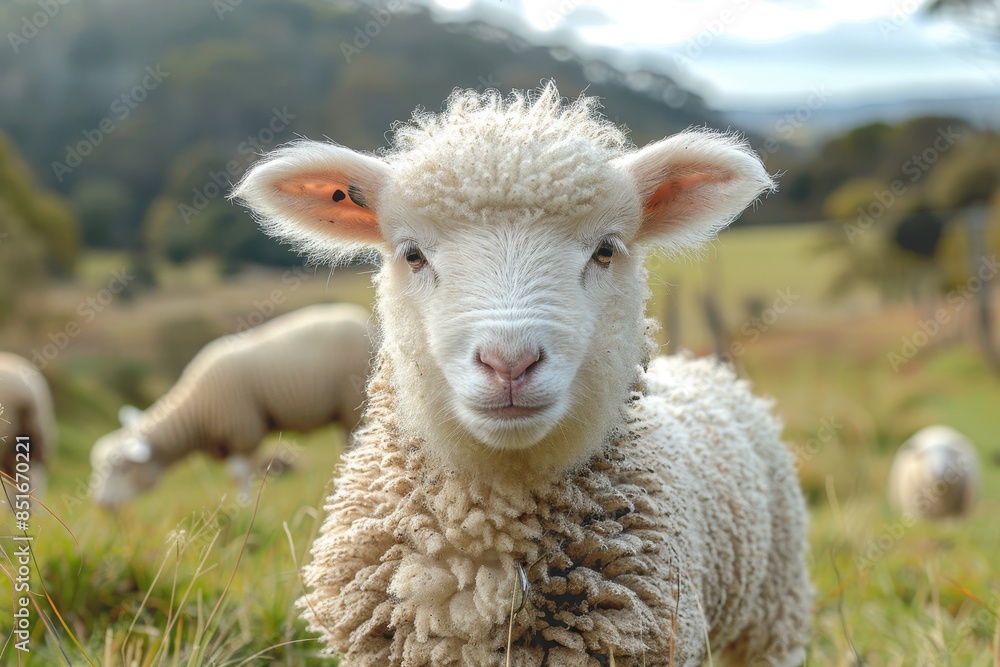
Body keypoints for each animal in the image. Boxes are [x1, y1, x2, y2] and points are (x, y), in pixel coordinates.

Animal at [89, 303, 372, 508]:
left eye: (123, 468)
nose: (102, 505)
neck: (196, 409)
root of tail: (365, 317)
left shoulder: (241, 431)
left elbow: (239, 474)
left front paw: (244, 507)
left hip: (353, 400)